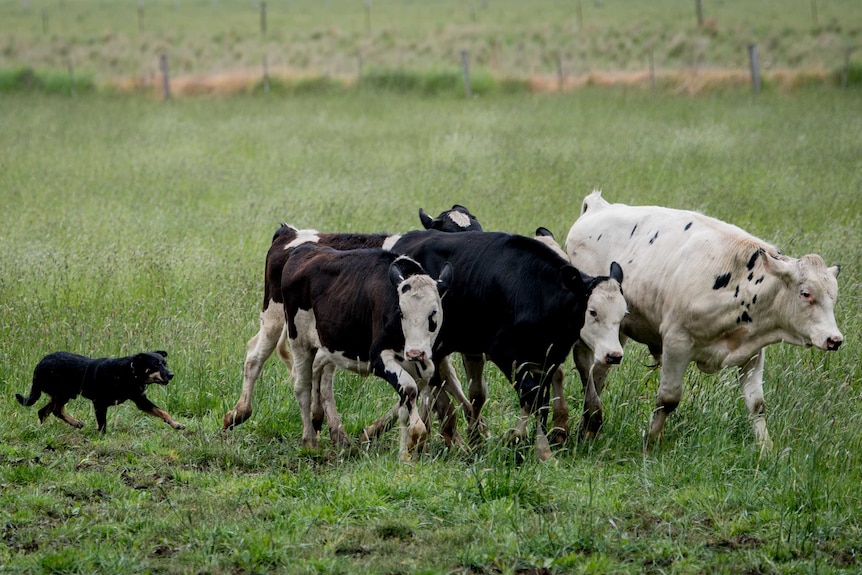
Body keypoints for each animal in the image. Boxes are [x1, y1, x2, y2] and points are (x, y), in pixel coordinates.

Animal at [17, 352, 186, 432]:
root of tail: (40, 363)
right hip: (63, 393)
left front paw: (175, 424)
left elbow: (162, 412)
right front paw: (101, 436)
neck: (130, 373)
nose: (171, 374)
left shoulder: (141, 401)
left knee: (46, 411)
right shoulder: (99, 403)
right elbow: (102, 424)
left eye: (164, 363)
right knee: (53, 410)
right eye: (156, 364)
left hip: (64, 394)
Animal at [221, 205, 480, 434]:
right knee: (256, 356)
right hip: (275, 317)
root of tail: (289, 232)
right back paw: (239, 413)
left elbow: (447, 383)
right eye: (447, 234)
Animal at [286, 245, 460, 462]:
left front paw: (404, 454)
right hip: (299, 341)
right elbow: (410, 390)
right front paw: (414, 438)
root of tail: (304, 249)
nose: (415, 353)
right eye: (401, 312)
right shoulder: (378, 359)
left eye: (433, 312)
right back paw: (310, 442)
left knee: (319, 373)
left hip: (329, 342)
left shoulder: (422, 366)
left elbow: (405, 403)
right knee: (302, 387)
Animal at [388, 232, 624, 462]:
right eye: (593, 311)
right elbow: (530, 394)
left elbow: (542, 400)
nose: (614, 355)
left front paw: (539, 448)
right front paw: (519, 438)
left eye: (623, 313)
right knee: (436, 388)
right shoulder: (506, 354)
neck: (541, 294)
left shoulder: (547, 360)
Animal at [568, 191, 844, 452]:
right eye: (806, 293)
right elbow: (668, 399)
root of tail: (598, 206)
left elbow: (756, 404)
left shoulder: (754, 352)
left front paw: (766, 449)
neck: (739, 284)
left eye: (834, 296)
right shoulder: (677, 342)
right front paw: (651, 443)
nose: (835, 339)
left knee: (599, 373)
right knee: (586, 366)